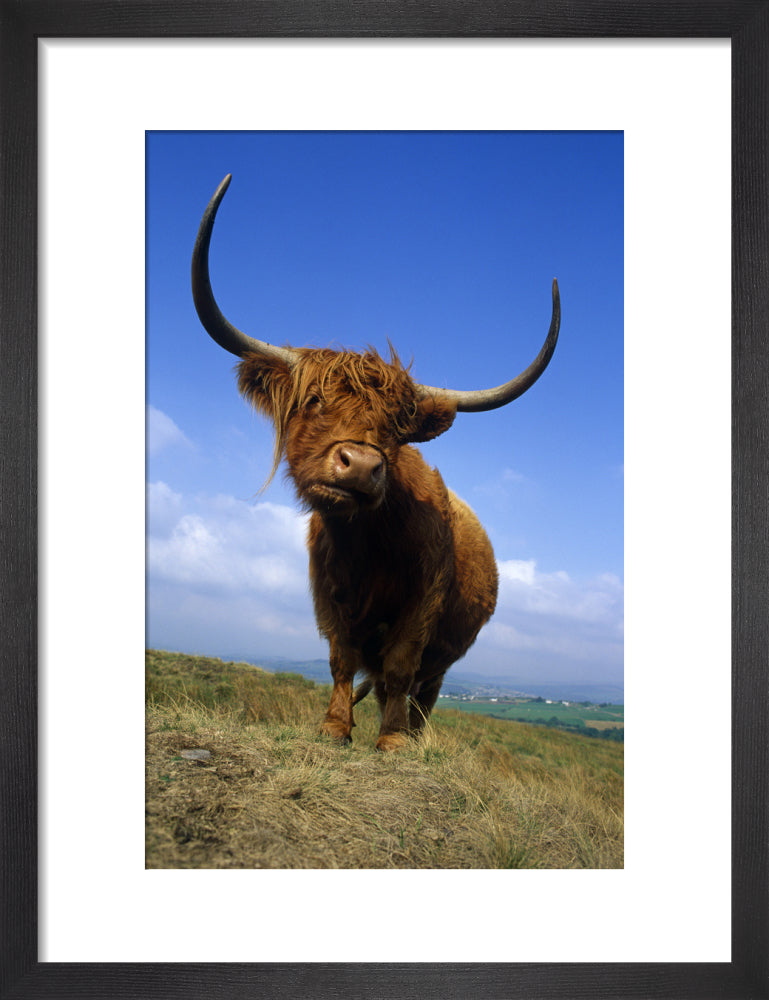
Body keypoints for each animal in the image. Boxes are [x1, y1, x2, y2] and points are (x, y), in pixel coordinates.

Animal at [191, 174, 560, 751]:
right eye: (313, 401)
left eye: (397, 431)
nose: (362, 465)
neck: (364, 545)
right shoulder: (329, 599)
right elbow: (342, 661)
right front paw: (334, 727)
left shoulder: (422, 603)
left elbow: (401, 664)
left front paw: (391, 741)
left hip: (446, 656)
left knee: (421, 691)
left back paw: (413, 735)